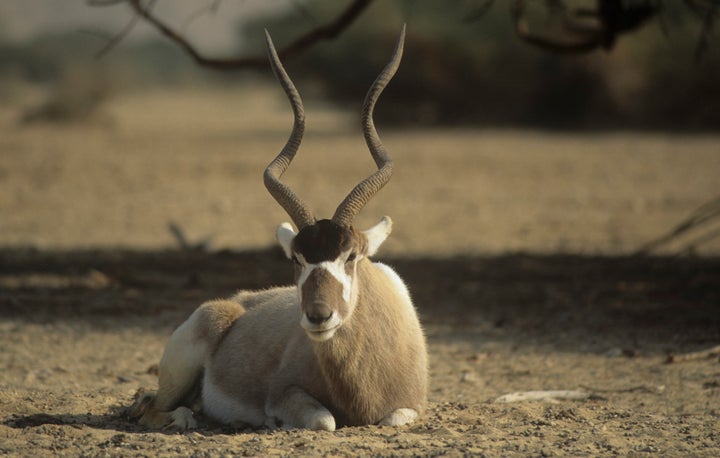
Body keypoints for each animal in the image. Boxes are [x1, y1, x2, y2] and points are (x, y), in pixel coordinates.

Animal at [128, 26, 428, 432]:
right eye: (296, 259)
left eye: (351, 256)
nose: (318, 317)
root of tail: (235, 302)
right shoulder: (284, 395)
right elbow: (323, 420)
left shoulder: (411, 405)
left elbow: (392, 419)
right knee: (153, 407)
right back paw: (186, 417)